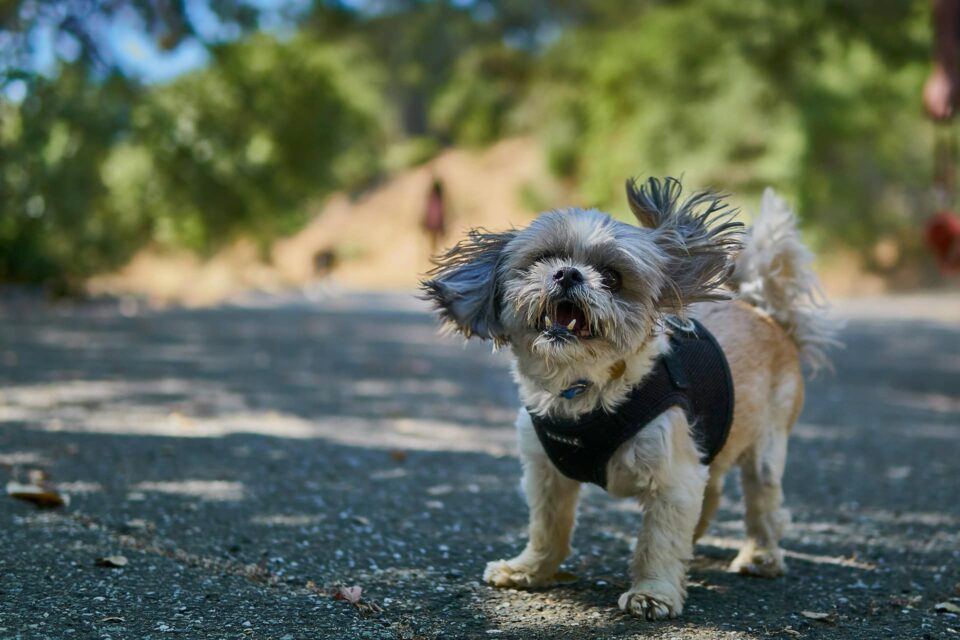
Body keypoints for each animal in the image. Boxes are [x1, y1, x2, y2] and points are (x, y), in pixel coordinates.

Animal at [420, 176, 840, 620]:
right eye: (545, 258)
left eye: (612, 276)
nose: (567, 273)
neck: (585, 390)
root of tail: (767, 315)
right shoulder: (546, 473)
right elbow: (548, 527)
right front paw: (529, 570)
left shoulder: (673, 477)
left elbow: (659, 541)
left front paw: (652, 594)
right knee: (713, 493)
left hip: (766, 449)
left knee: (762, 506)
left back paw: (761, 557)